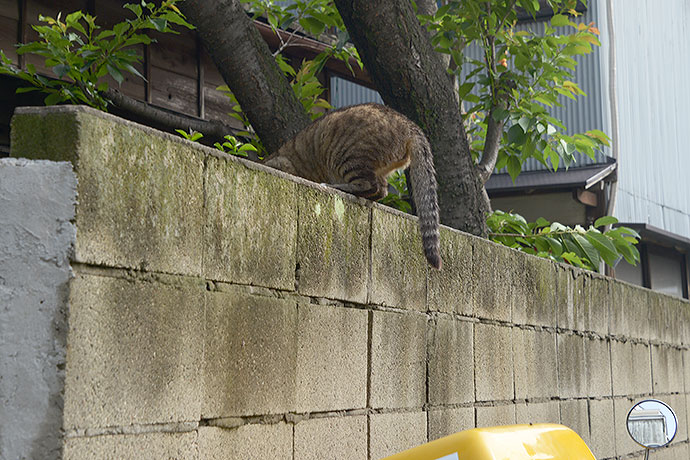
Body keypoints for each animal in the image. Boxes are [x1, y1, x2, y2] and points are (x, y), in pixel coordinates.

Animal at [264, 103, 440, 270]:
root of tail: (408, 123)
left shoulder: (283, 163)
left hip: (347, 154)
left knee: (370, 185)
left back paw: (337, 186)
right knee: (381, 189)